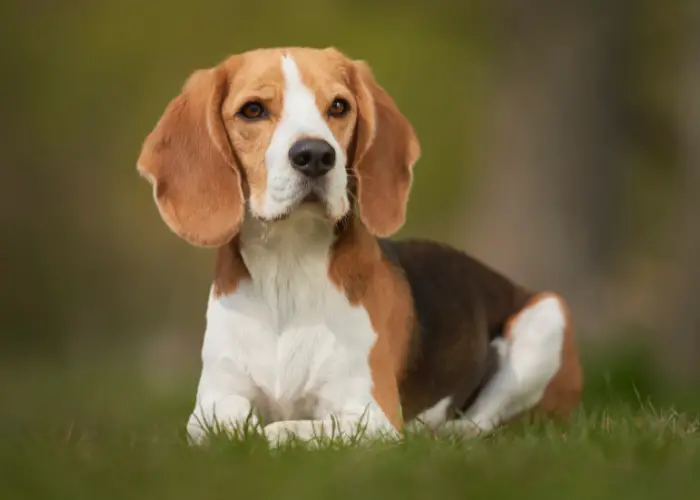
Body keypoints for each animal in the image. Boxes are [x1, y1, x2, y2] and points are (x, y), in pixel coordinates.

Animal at [135, 47, 580, 446]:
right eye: (253, 110)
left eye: (338, 106)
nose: (315, 155)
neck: (288, 266)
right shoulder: (212, 400)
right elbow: (228, 422)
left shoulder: (369, 416)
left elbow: (287, 431)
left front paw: (272, 433)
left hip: (546, 318)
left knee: (482, 422)